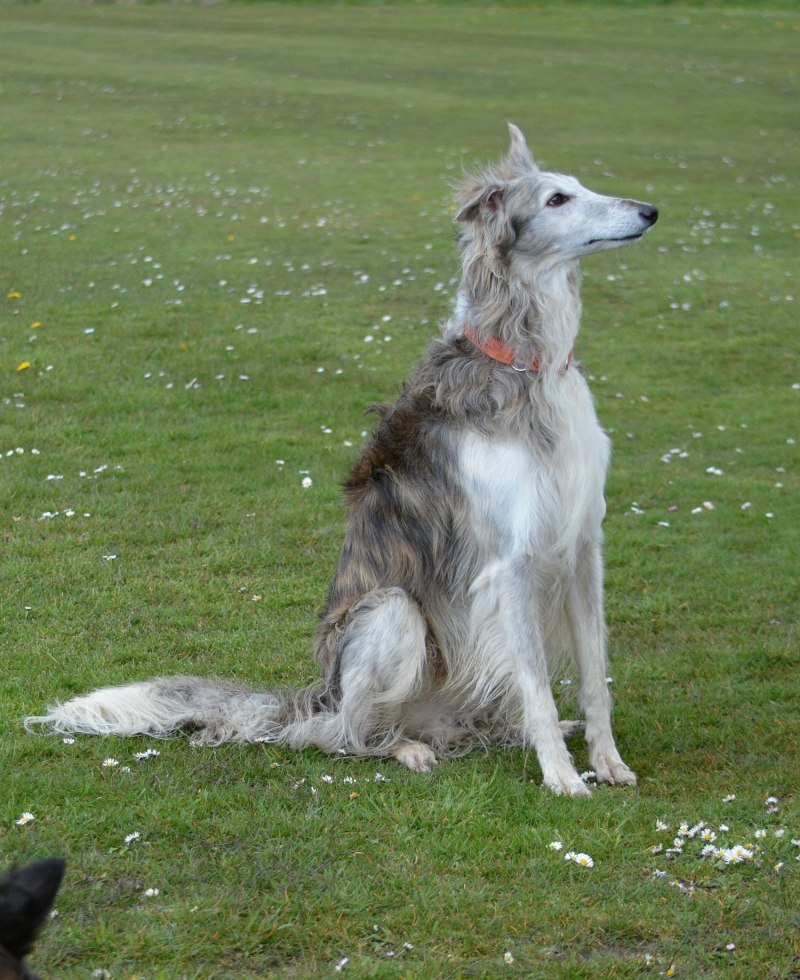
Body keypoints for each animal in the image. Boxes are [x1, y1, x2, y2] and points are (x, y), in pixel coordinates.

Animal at [28, 124, 660, 796]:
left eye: (580, 186)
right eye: (557, 199)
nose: (650, 211)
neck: (523, 365)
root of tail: (318, 696)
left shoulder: (582, 545)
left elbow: (595, 676)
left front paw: (606, 761)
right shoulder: (509, 563)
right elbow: (538, 685)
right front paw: (563, 777)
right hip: (391, 614)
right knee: (339, 733)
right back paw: (401, 747)